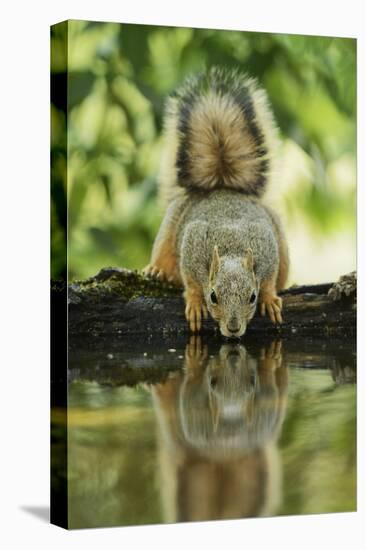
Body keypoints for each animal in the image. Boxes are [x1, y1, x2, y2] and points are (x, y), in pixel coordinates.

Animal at [144, 67, 290, 338]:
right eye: (212, 296)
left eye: (252, 297)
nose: (233, 328)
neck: (231, 246)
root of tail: (222, 186)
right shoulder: (192, 246)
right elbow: (191, 282)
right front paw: (194, 303)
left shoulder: (267, 246)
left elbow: (268, 279)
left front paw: (269, 299)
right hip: (171, 225)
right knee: (164, 252)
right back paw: (157, 270)